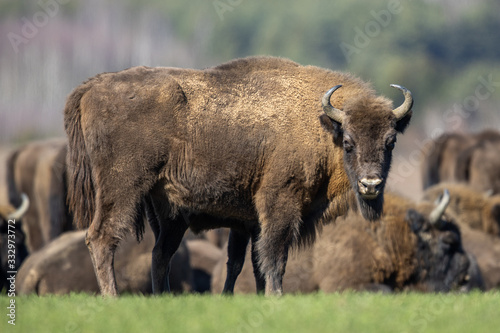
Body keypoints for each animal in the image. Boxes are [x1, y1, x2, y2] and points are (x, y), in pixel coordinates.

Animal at [64, 55, 412, 296]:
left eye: (390, 142)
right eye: (349, 142)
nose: (370, 184)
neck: (322, 125)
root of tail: (93, 86)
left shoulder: (252, 222)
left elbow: (251, 262)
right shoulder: (279, 204)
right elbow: (274, 256)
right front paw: (275, 296)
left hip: (166, 213)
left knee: (160, 254)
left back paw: (161, 298)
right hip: (121, 189)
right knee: (102, 237)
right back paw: (113, 298)